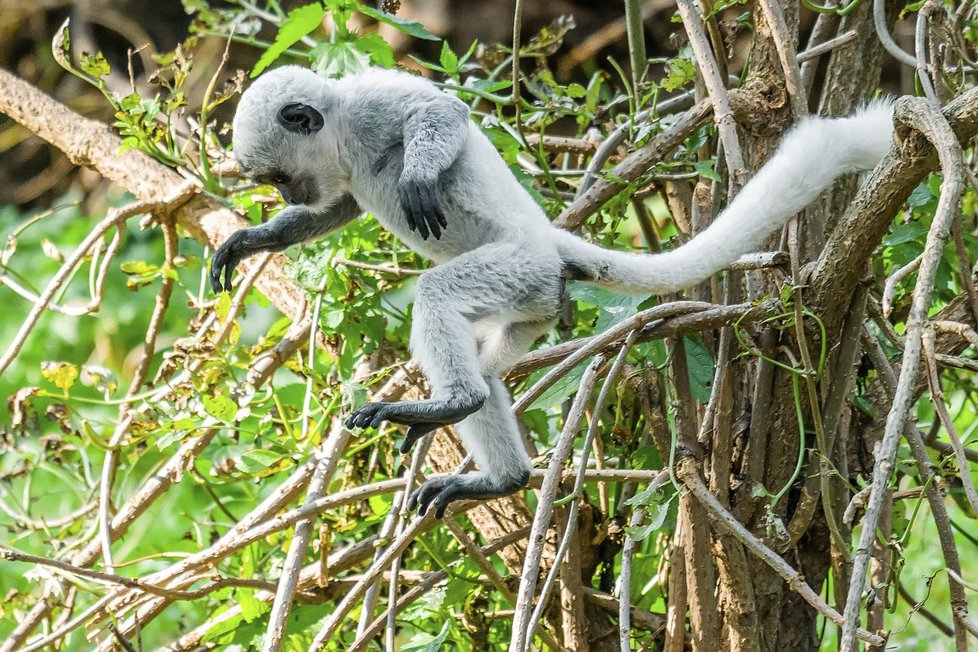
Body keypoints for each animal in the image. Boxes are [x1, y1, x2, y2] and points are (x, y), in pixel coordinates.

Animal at [214, 63, 892, 516]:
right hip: (527, 305)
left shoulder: (368, 110)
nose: (286, 194)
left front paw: (419, 175)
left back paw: (453, 403)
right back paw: (502, 475)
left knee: (439, 297)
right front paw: (252, 239)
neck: (342, 140)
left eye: (278, 176)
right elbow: (339, 210)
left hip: (518, 267)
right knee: (487, 368)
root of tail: (551, 245)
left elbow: (438, 110)